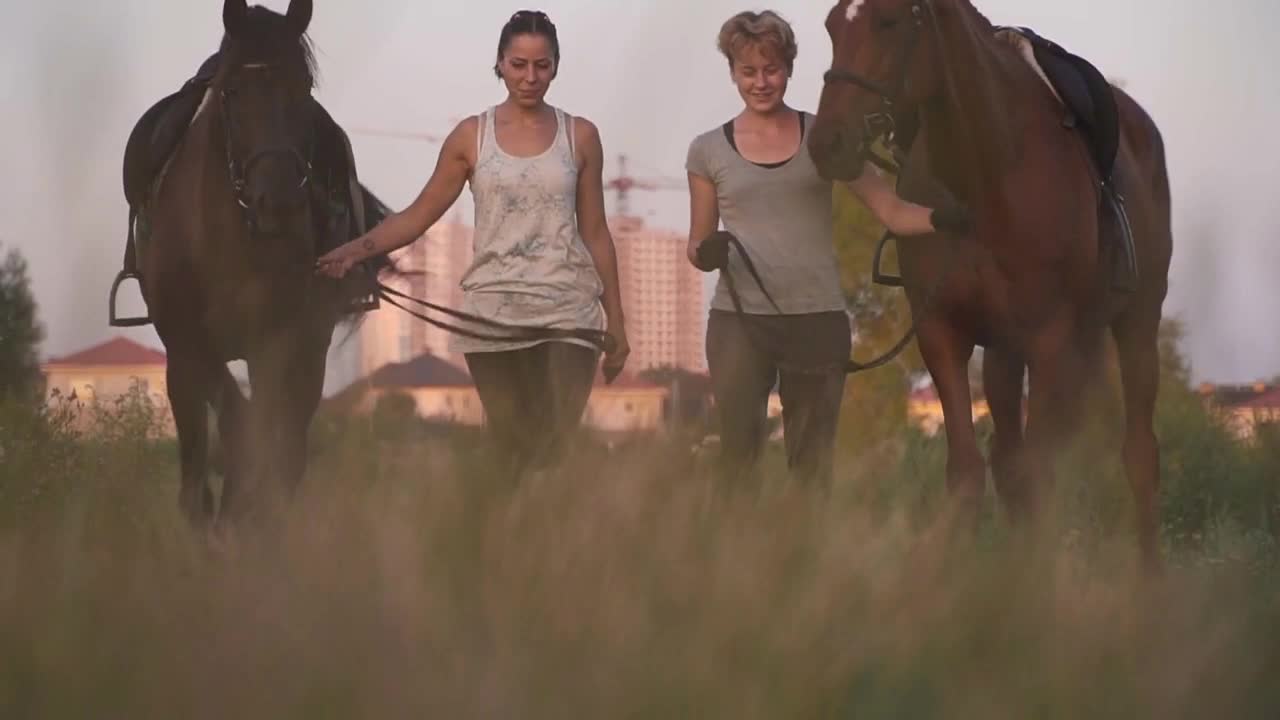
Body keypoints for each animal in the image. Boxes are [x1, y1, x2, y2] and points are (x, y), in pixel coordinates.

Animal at [808, 1, 1172, 571]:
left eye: (889, 21)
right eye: (831, 26)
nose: (827, 144)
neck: (987, 176)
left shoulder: (1050, 340)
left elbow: (1041, 472)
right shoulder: (943, 334)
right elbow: (968, 470)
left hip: (1136, 322)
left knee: (1139, 454)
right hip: (1006, 352)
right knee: (1009, 459)